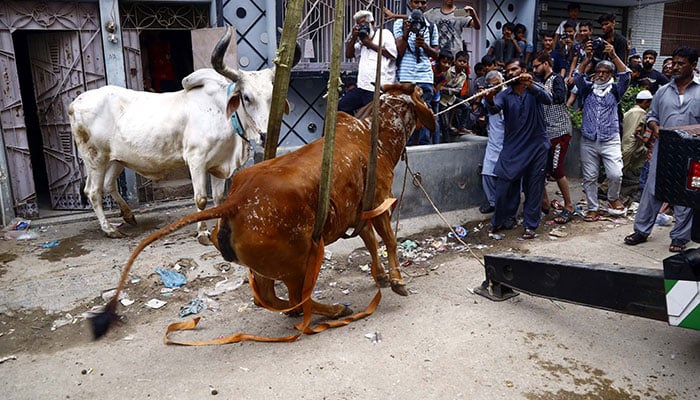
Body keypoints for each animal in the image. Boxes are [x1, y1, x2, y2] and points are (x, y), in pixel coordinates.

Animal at [65, 28, 284, 244]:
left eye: (272, 96)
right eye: (246, 97)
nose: (265, 136)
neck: (223, 113)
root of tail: (76, 102)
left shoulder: (219, 163)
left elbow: (219, 199)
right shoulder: (197, 160)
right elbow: (201, 199)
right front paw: (202, 232)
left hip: (116, 159)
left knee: (109, 184)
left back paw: (128, 216)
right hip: (95, 158)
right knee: (93, 191)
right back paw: (109, 229)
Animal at [90, 83, 434, 338]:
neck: (376, 134)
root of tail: (235, 201)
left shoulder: (359, 216)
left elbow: (373, 245)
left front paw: (381, 276)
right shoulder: (380, 203)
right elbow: (389, 241)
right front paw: (397, 281)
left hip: (265, 263)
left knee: (269, 296)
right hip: (300, 257)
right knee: (296, 297)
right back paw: (333, 310)